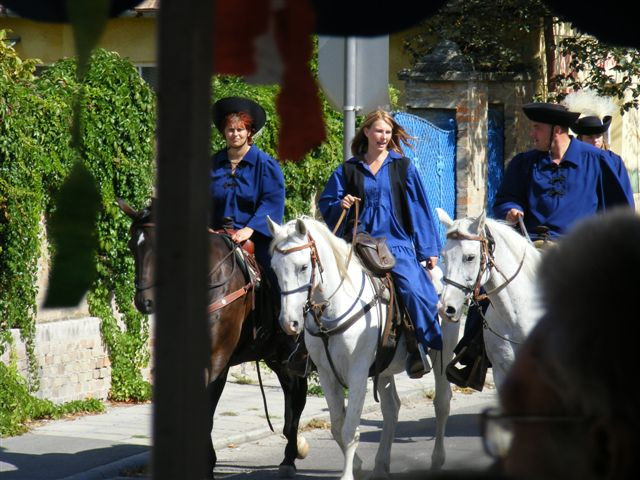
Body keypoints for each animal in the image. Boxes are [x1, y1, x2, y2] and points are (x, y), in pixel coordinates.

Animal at [121, 199, 312, 476]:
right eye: (132, 246)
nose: (144, 302)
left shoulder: (217, 362)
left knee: (298, 396)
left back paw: (290, 456)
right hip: (275, 356)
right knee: (292, 393)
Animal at [268, 218, 460, 480]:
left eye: (303, 267)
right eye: (275, 269)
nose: (289, 323)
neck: (334, 309)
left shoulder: (357, 373)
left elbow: (349, 430)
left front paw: (349, 474)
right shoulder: (327, 375)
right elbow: (337, 426)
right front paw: (358, 466)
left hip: (442, 355)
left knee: (442, 403)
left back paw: (437, 459)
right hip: (385, 369)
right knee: (391, 409)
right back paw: (380, 466)